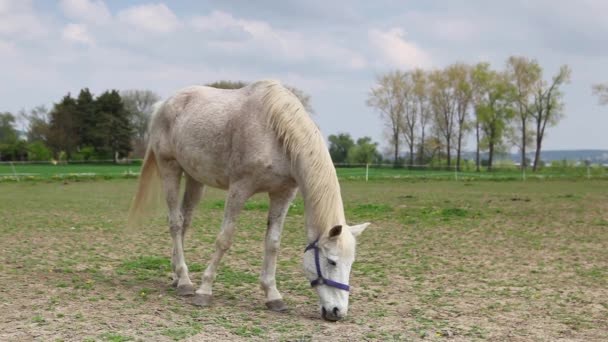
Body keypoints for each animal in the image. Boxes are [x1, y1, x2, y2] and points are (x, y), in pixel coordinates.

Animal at [127, 79, 370, 320]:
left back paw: (178, 277)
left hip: (196, 179)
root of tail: (163, 104)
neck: (275, 133)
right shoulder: (239, 189)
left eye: (350, 263)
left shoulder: (283, 194)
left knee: (185, 221)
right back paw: (186, 282)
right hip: (170, 169)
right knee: (176, 223)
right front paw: (205, 291)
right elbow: (224, 239)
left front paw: (273, 295)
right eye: (331, 261)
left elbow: (272, 243)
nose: (337, 312)